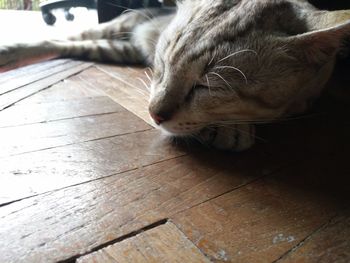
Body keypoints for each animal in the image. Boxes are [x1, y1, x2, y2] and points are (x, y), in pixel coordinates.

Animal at [0, 0, 350, 152]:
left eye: (207, 86)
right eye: (163, 64)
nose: (153, 114)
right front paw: (233, 130)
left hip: (116, 47)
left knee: (66, 44)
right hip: (119, 27)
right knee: (64, 37)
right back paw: (11, 51)